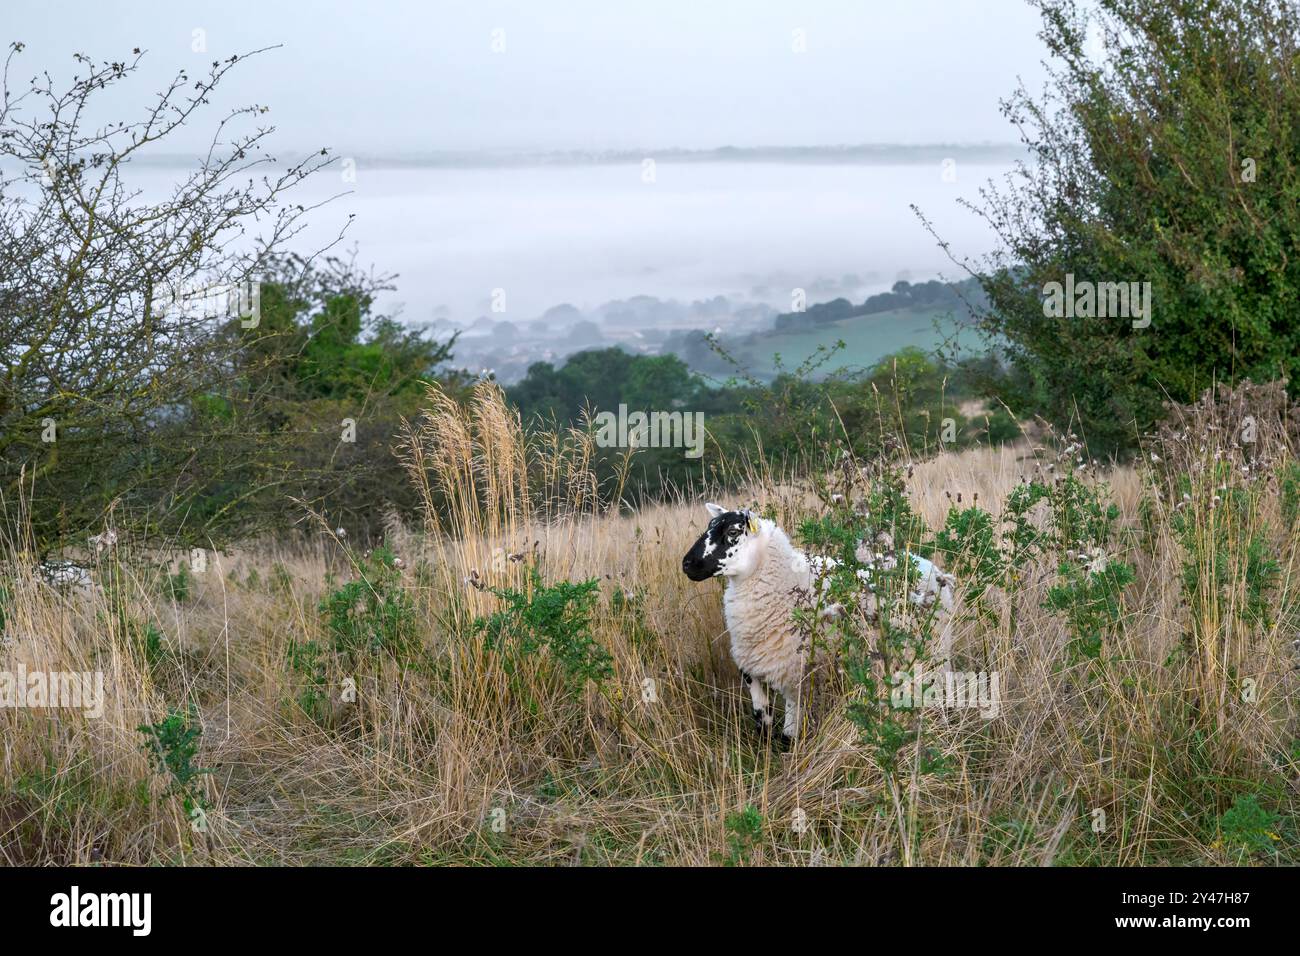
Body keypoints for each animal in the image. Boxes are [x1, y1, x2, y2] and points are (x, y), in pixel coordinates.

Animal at [681, 504, 956, 743]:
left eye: (733, 532)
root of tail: (929, 565)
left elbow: (788, 734)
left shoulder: (795, 674)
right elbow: (762, 724)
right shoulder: (752, 669)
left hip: (935, 649)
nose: (686, 564)